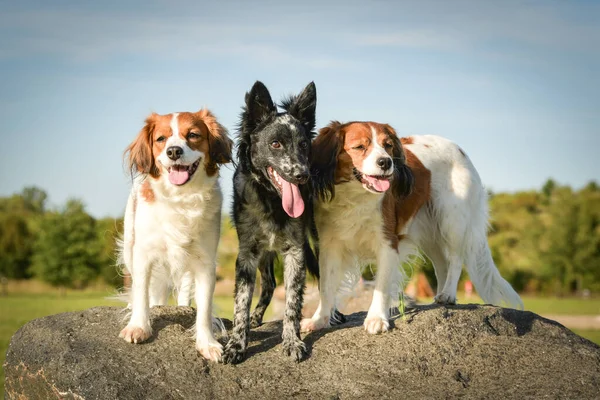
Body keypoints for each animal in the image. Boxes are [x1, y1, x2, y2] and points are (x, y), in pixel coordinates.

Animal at [119, 108, 232, 360]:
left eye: (193, 135)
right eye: (161, 139)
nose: (173, 151)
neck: (181, 199)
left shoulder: (205, 261)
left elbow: (204, 307)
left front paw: (207, 342)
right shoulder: (143, 254)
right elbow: (141, 293)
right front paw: (138, 326)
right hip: (130, 245)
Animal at [223, 80, 318, 362]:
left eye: (304, 145)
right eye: (275, 144)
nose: (302, 175)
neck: (272, 200)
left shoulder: (296, 251)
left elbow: (292, 302)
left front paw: (292, 341)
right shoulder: (247, 253)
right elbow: (241, 302)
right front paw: (236, 344)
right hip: (264, 254)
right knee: (269, 284)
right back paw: (255, 318)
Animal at [302, 121, 524, 334]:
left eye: (388, 146)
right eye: (359, 147)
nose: (386, 162)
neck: (355, 196)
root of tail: (459, 149)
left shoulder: (387, 243)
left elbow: (381, 286)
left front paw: (376, 319)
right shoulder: (330, 246)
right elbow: (326, 287)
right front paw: (319, 320)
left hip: (452, 220)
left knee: (455, 259)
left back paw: (448, 294)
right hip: (429, 231)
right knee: (442, 263)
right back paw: (440, 297)